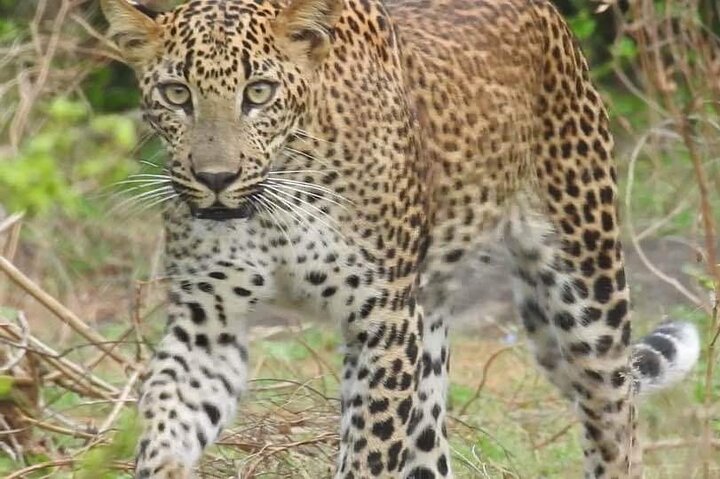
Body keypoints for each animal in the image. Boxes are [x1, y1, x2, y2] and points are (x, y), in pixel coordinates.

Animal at [100, 0, 701, 477]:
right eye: (176, 93)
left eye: (259, 92)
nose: (216, 178)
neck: (275, 200)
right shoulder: (209, 324)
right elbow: (165, 415)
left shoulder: (382, 321)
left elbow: (369, 453)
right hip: (437, 325)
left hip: (586, 292)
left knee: (616, 422)